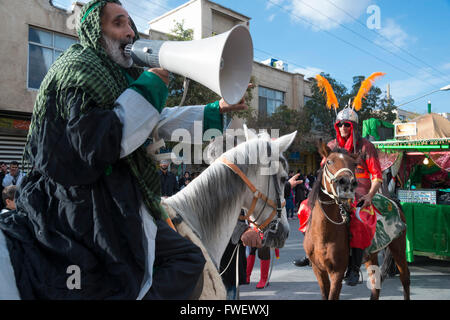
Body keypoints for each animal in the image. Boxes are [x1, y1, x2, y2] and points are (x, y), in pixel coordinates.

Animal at [302, 142, 412, 300]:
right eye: (329, 162)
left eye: (354, 164)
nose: (347, 183)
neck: (322, 234)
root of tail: (393, 200)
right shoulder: (319, 271)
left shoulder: (337, 272)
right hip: (371, 254)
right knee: (375, 284)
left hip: (398, 246)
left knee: (405, 277)